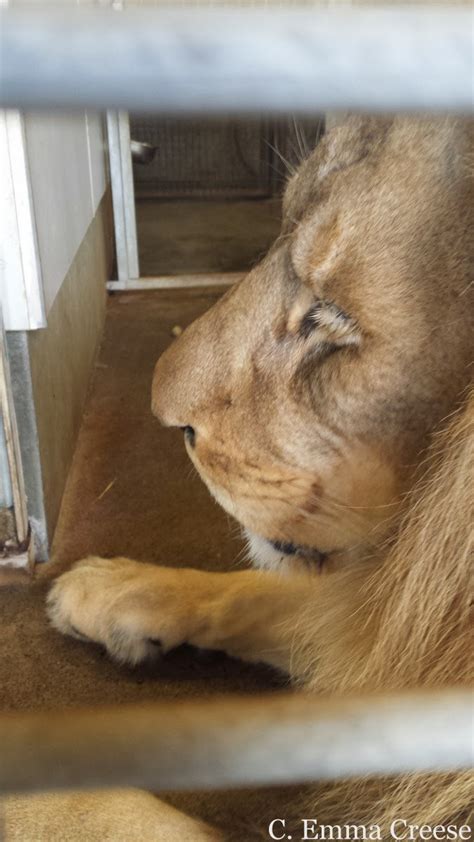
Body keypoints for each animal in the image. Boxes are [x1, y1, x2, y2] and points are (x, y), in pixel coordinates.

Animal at [43, 118, 470, 840]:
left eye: (333, 318)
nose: (165, 417)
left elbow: (102, 806)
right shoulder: (391, 625)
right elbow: (267, 596)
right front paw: (113, 588)